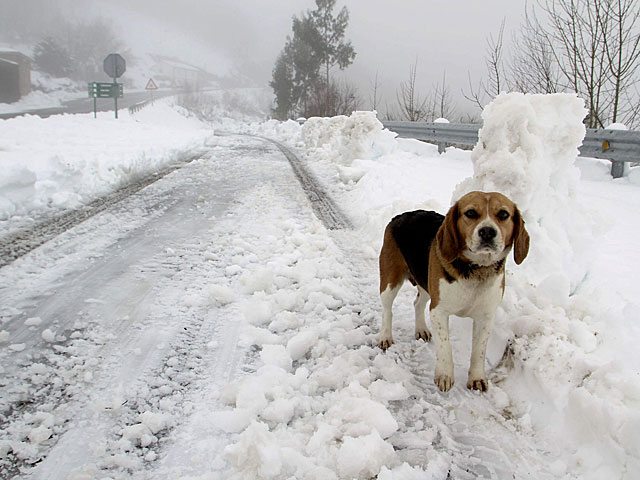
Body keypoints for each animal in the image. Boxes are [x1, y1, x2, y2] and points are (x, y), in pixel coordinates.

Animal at [376, 189, 528, 392]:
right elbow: (445, 347)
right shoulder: (439, 311)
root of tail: (401, 216)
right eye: (470, 213)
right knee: (387, 310)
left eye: (503, 214)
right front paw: (444, 376)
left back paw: (421, 329)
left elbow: (479, 351)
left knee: (417, 303)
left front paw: (477, 378)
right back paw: (386, 337)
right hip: (390, 280)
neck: (476, 269)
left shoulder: (486, 317)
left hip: (427, 284)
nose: (488, 231)